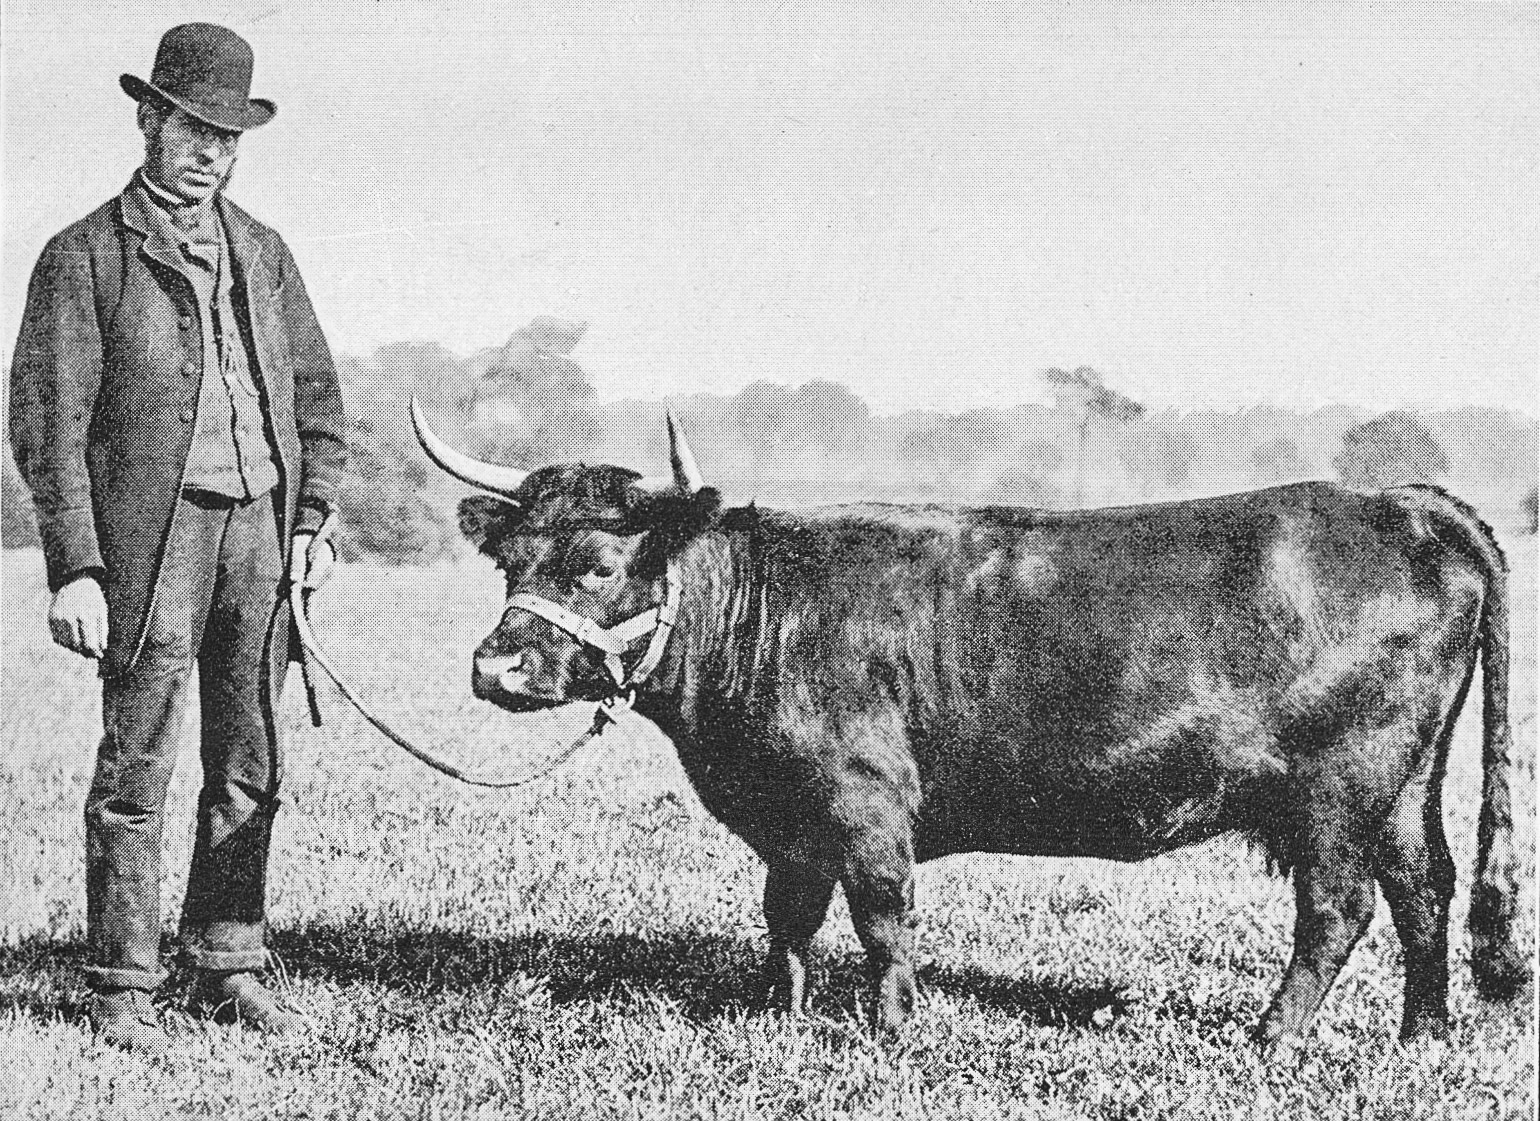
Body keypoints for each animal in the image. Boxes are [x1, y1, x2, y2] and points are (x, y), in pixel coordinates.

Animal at [411, 399, 1527, 1055]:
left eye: (599, 563)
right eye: (512, 561)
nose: (494, 665)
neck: (768, 612)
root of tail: (1405, 501)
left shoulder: (864, 804)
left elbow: (880, 914)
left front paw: (889, 1026)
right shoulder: (791, 819)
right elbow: (788, 914)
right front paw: (780, 1011)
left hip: (1340, 786)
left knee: (1339, 907)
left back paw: (1269, 1036)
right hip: (1406, 779)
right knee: (1424, 886)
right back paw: (1423, 1033)